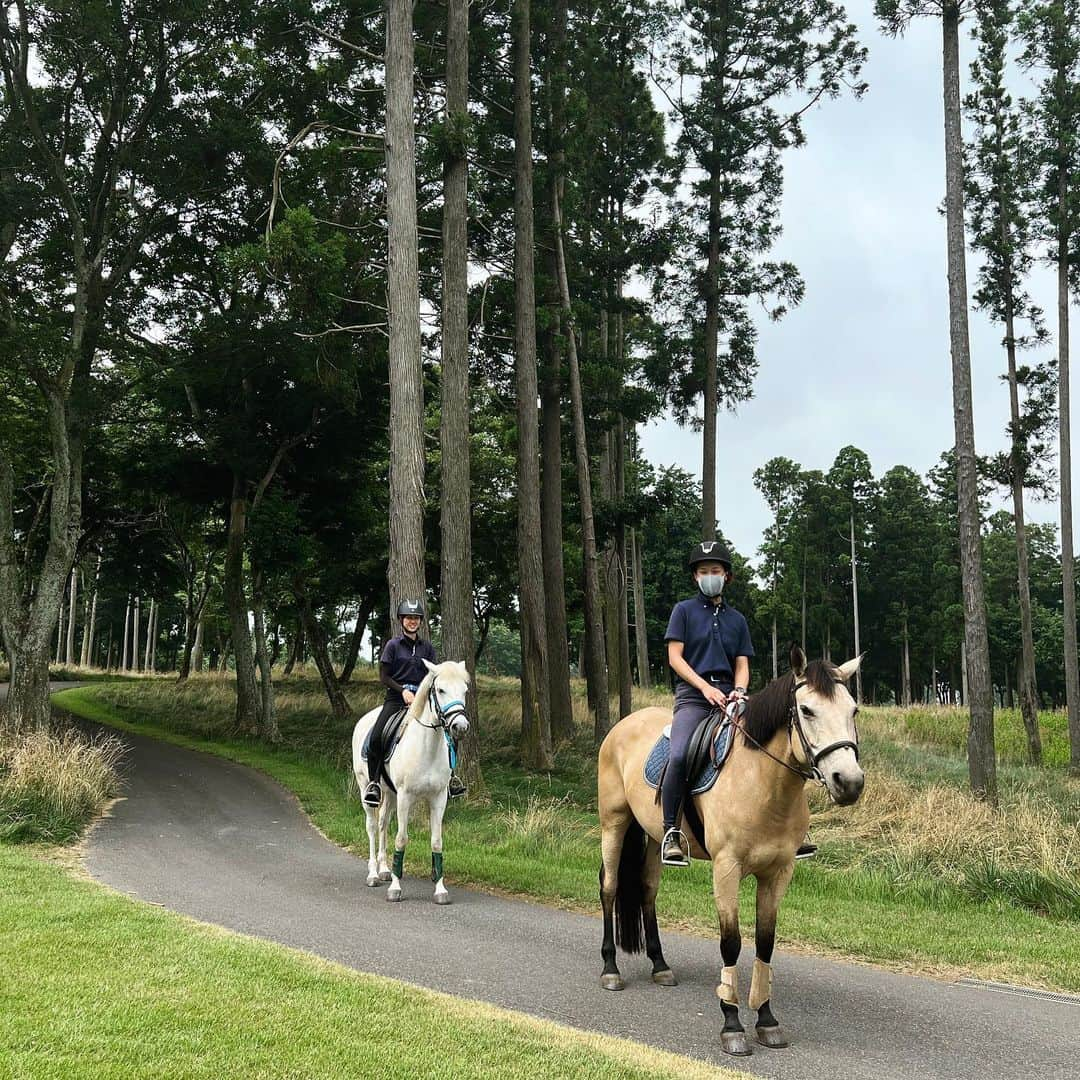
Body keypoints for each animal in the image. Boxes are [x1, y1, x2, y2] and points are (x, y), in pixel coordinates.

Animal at [596, 643, 864, 1058]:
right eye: (807, 710)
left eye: (853, 710)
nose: (848, 782)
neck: (763, 783)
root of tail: (623, 725)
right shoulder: (726, 868)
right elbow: (731, 941)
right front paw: (732, 1024)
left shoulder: (778, 872)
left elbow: (765, 942)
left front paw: (767, 1020)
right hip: (614, 822)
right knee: (609, 886)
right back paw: (610, 970)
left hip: (654, 837)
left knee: (646, 890)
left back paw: (660, 965)